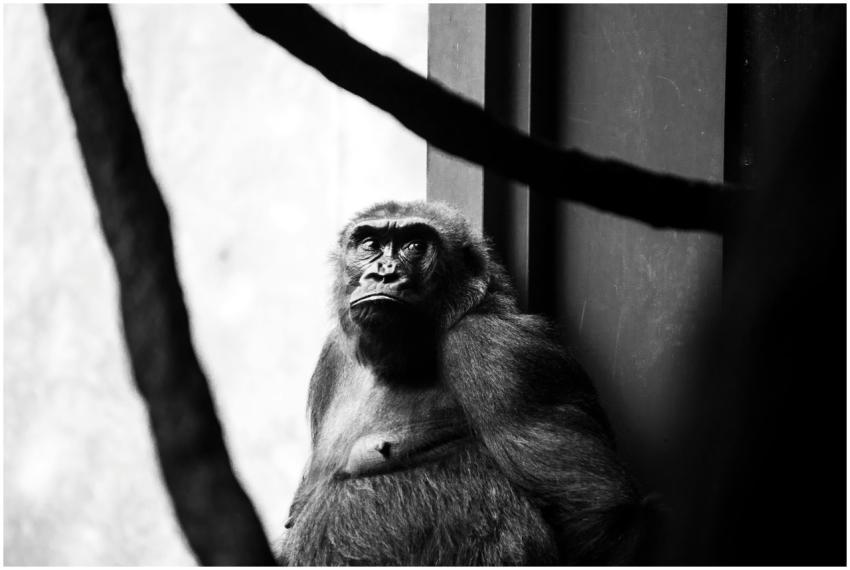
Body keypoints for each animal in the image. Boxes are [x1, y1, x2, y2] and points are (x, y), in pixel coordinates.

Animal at [278, 200, 644, 565]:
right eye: (369, 244)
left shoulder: (496, 346)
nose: (384, 272)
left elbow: (590, 501)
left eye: (415, 245)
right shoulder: (332, 355)